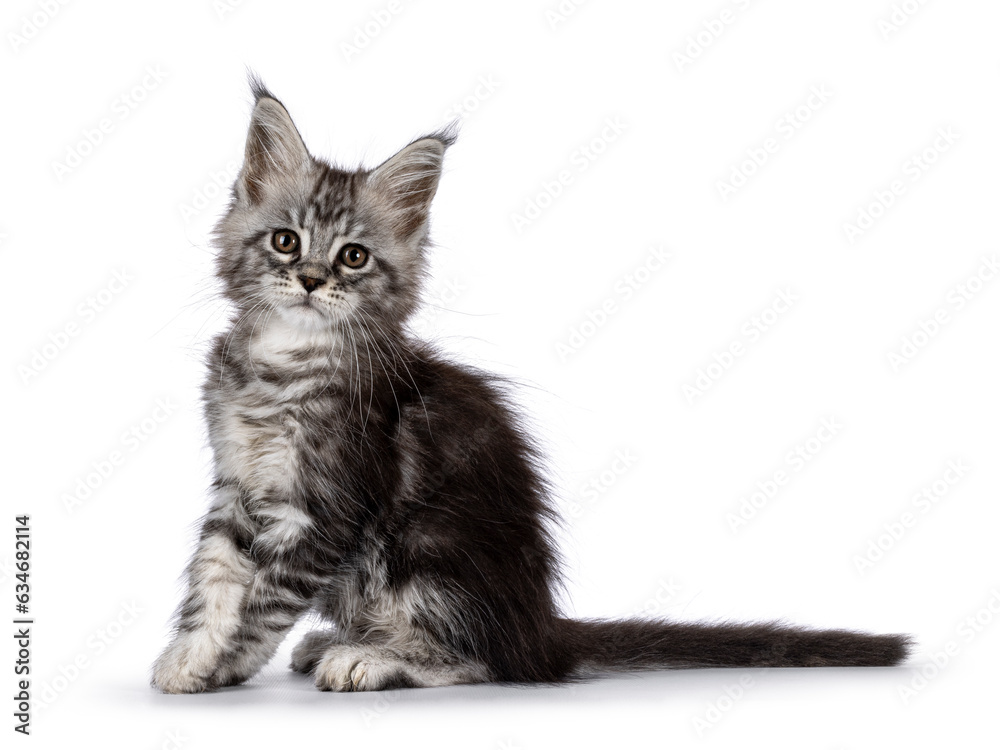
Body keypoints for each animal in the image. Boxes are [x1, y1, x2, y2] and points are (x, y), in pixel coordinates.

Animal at [152, 79, 912, 696]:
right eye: (285, 241)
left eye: (354, 256)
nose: (311, 280)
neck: (285, 363)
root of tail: (543, 627)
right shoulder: (237, 487)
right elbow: (214, 580)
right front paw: (190, 655)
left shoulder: (327, 506)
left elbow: (262, 600)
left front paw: (220, 664)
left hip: (425, 550)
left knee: (486, 662)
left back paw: (372, 656)